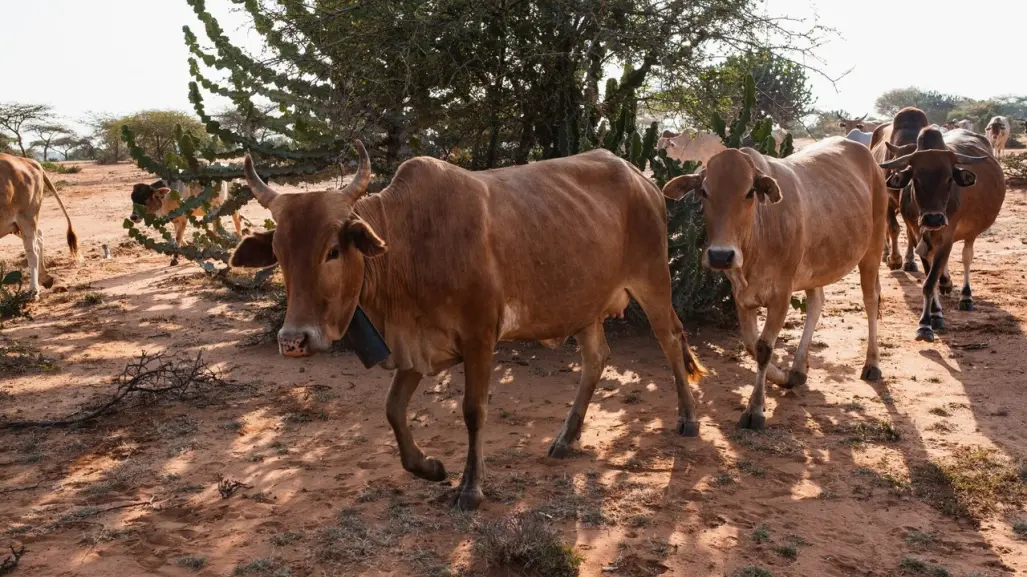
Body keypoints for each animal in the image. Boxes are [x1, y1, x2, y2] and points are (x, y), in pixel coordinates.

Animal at [0, 151, 78, 291]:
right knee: (40, 237)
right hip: (13, 225)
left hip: (26, 218)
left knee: (33, 251)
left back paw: (33, 290)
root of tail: (30, 161)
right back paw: (45, 278)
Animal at [227, 140, 706, 507]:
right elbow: (393, 410)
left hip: (653, 281)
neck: (409, 243)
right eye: (279, 254)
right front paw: (429, 467)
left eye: (332, 251)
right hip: (584, 304)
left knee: (671, 340)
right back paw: (566, 438)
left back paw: (688, 420)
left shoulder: (479, 339)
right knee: (596, 358)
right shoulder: (416, 347)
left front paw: (470, 488)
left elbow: (473, 411)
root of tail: (642, 179)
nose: (294, 340)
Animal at [661, 136, 887, 429]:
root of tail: (867, 155)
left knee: (871, 301)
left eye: (749, 192)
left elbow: (764, 348)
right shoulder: (741, 295)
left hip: (873, 249)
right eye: (704, 192)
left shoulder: (782, 294)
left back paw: (872, 363)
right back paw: (799, 367)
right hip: (815, 266)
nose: (721, 255)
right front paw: (786, 378)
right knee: (816, 303)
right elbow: (751, 345)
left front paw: (755, 409)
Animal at [879, 126, 1006, 340]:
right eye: (916, 178)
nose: (934, 219)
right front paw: (935, 314)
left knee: (966, 257)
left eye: (949, 178)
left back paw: (965, 297)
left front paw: (925, 324)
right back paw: (947, 284)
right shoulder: (917, 235)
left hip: (970, 233)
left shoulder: (947, 235)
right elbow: (930, 276)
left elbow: (930, 281)